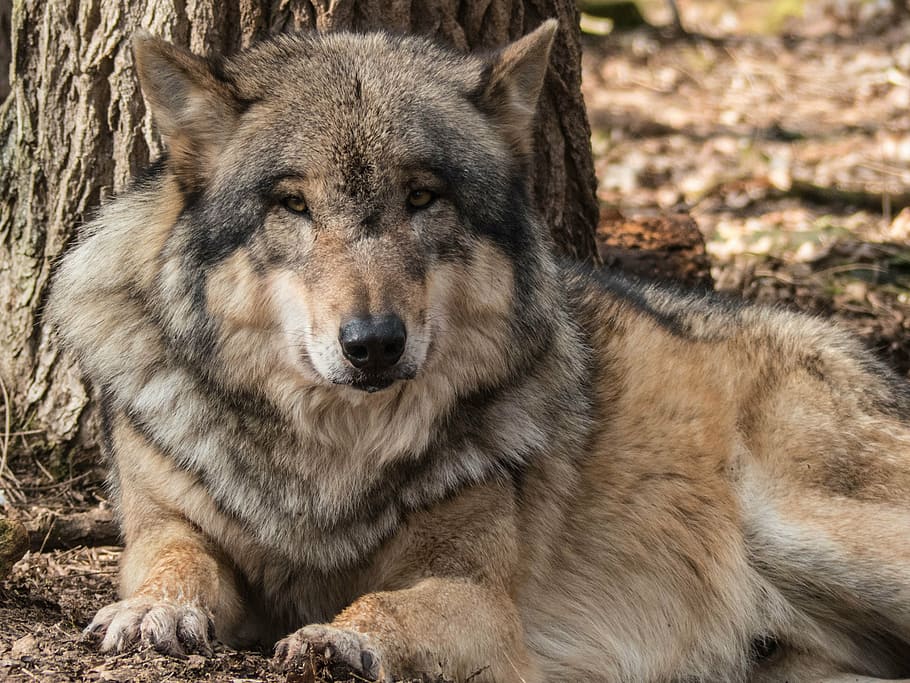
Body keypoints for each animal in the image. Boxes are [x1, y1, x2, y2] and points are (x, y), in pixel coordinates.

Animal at [47, 20, 910, 683]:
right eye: (293, 204)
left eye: (423, 196)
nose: (373, 343)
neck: (329, 469)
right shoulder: (162, 524)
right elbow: (176, 562)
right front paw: (151, 611)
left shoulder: (482, 600)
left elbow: (391, 603)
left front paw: (339, 635)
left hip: (815, 533)